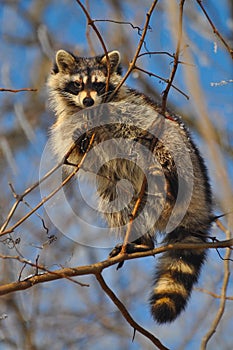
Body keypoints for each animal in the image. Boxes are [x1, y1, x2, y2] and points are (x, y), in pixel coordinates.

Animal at [47, 49, 213, 322]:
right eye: (77, 84)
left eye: (98, 84)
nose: (88, 102)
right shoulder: (68, 122)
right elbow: (78, 151)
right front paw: (82, 140)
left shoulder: (131, 106)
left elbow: (130, 122)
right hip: (124, 189)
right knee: (116, 198)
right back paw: (142, 241)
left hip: (180, 152)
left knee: (164, 146)